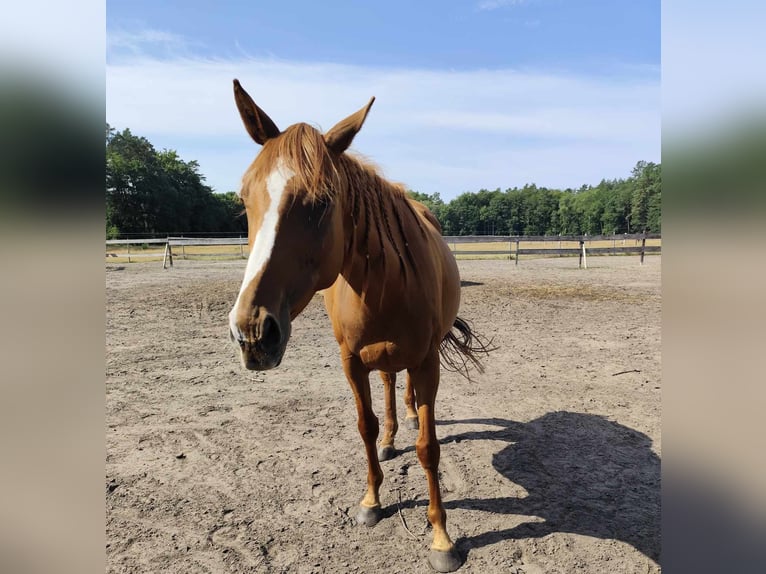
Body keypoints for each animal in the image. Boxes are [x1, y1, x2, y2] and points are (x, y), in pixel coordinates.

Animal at [230, 79, 492, 572]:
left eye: (322, 202)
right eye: (244, 197)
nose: (253, 332)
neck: (383, 284)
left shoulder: (427, 361)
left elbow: (429, 447)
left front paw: (442, 538)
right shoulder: (351, 360)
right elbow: (365, 425)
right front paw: (372, 500)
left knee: (403, 390)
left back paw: (408, 417)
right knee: (388, 383)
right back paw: (391, 436)